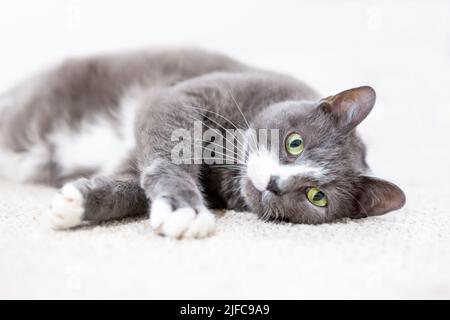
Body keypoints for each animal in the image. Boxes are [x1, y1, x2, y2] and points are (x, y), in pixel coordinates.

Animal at [0, 47, 404, 238]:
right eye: (295, 143)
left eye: (317, 197)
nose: (274, 183)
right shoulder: (182, 95)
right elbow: (168, 154)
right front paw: (186, 209)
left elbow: (132, 187)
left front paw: (75, 204)